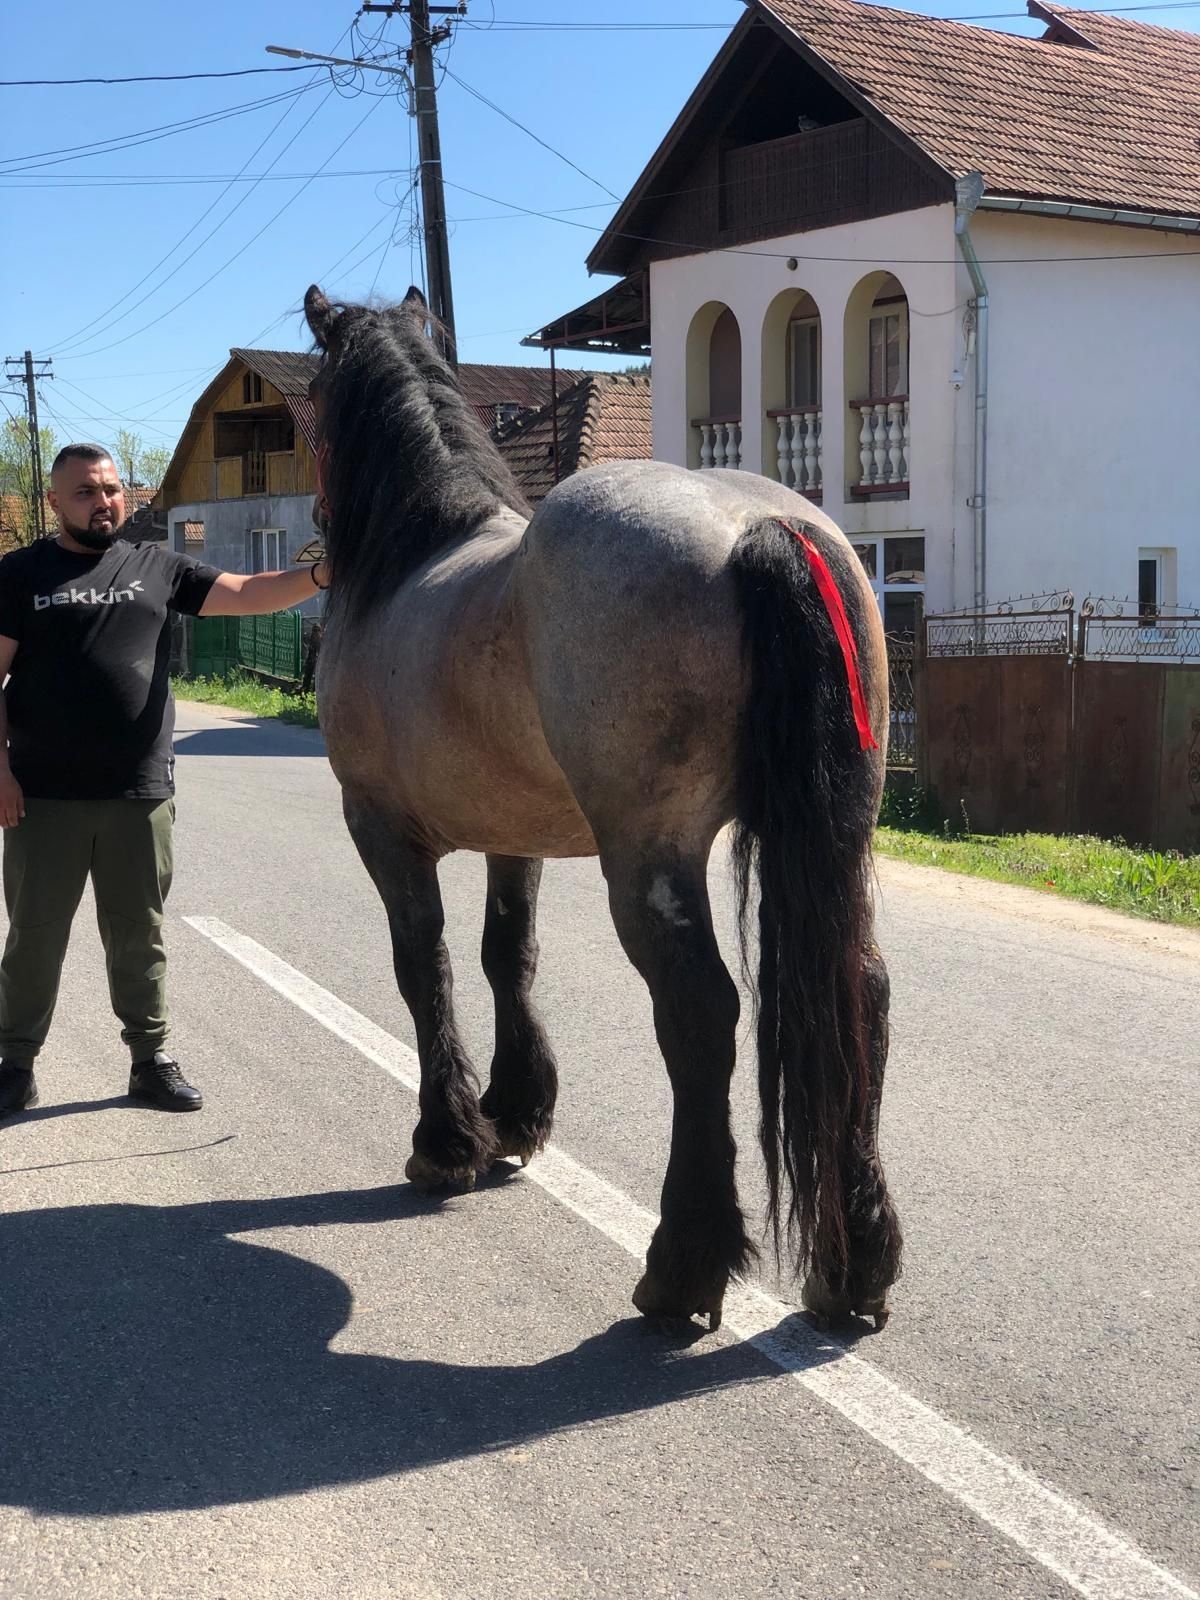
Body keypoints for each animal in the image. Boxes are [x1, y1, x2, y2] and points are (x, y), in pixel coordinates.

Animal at [305, 288, 908, 1337]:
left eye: (309, 400)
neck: (416, 554)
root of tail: (759, 524)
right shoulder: (517, 840)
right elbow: (508, 954)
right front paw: (513, 1115)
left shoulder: (380, 831)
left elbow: (424, 967)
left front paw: (446, 1141)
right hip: (838, 839)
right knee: (860, 995)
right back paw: (853, 1271)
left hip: (650, 858)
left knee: (701, 1015)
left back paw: (681, 1269)